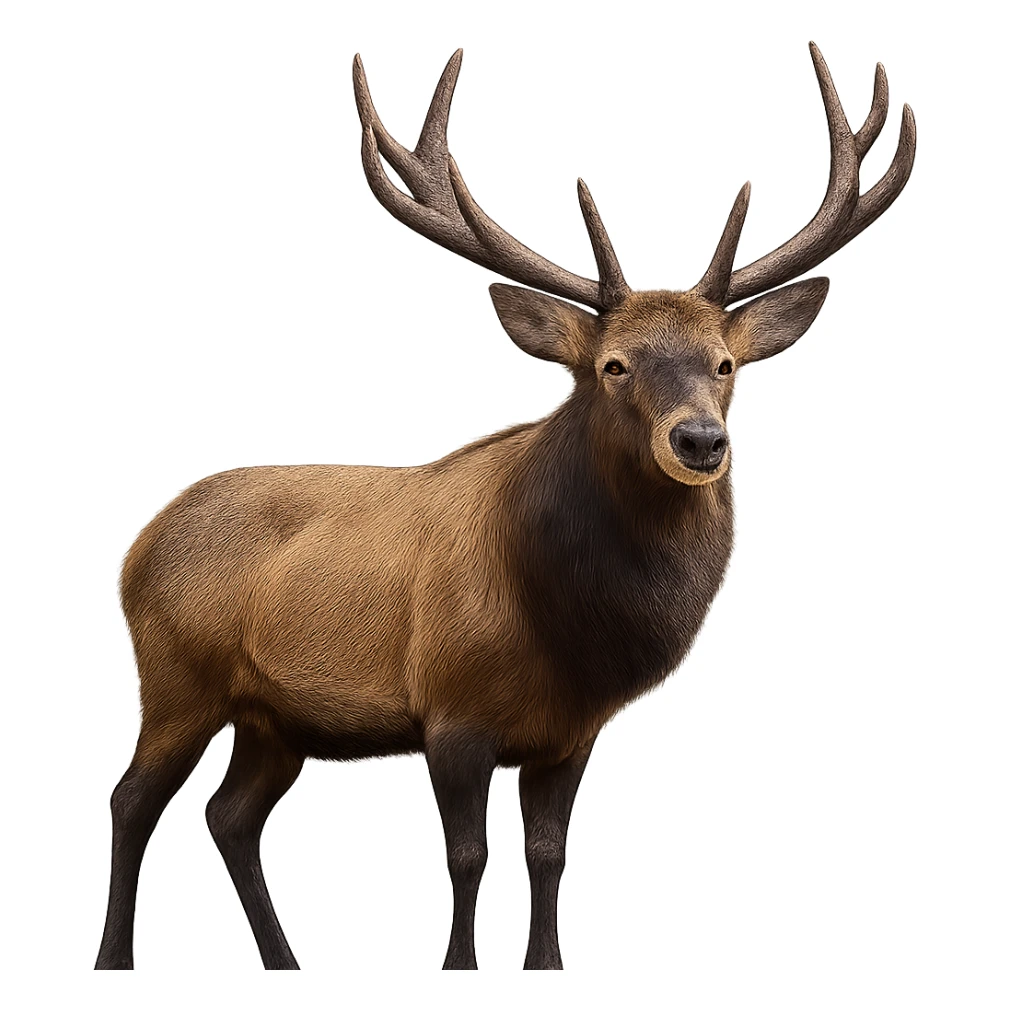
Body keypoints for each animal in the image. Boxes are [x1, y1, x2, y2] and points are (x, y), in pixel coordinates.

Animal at [95, 42, 915, 972]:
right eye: (613, 365)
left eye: (725, 363)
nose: (701, 439)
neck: (569, 635)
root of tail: (132, 546)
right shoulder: (452, 708)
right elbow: (466, 855)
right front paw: (459, 970)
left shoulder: (573, 734)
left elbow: (548, 855)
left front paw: (545, 968)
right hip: (175, 675)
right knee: (131, 799)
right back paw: (114, 961)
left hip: (275, 718)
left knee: (230, 816)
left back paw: (285, 964)